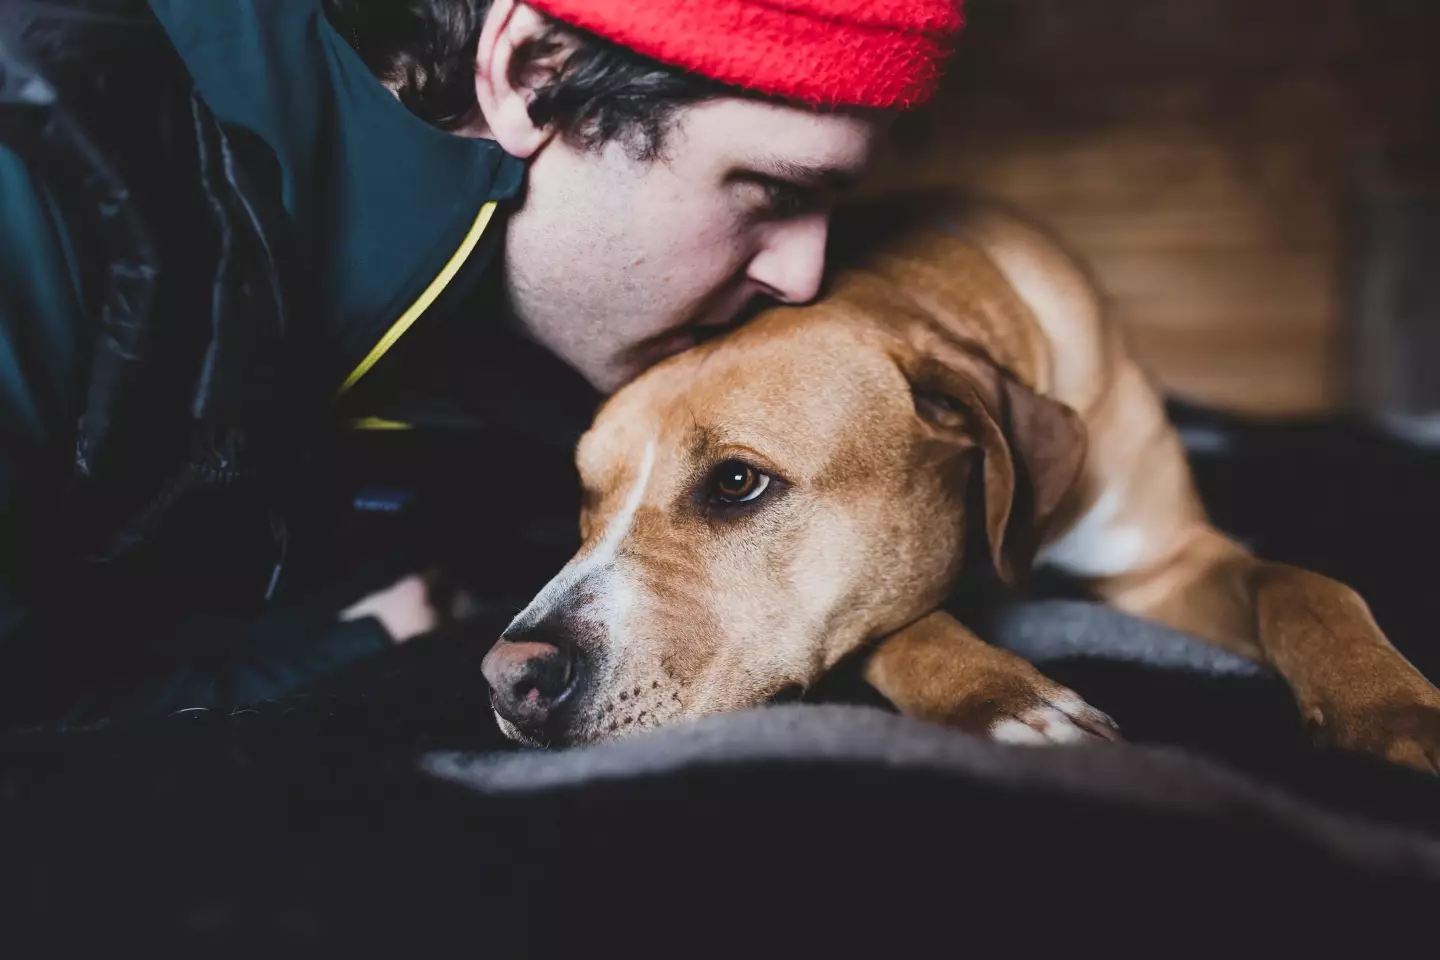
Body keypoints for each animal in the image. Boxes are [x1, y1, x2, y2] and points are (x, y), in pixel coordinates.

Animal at [483, 191, 1440, 771]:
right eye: (587, 497)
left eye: (738, 482)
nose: (509, 677)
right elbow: (906, 625)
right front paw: (1007, 700)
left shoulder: (1165, 564)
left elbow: (1305, 584)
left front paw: (1392, 710)